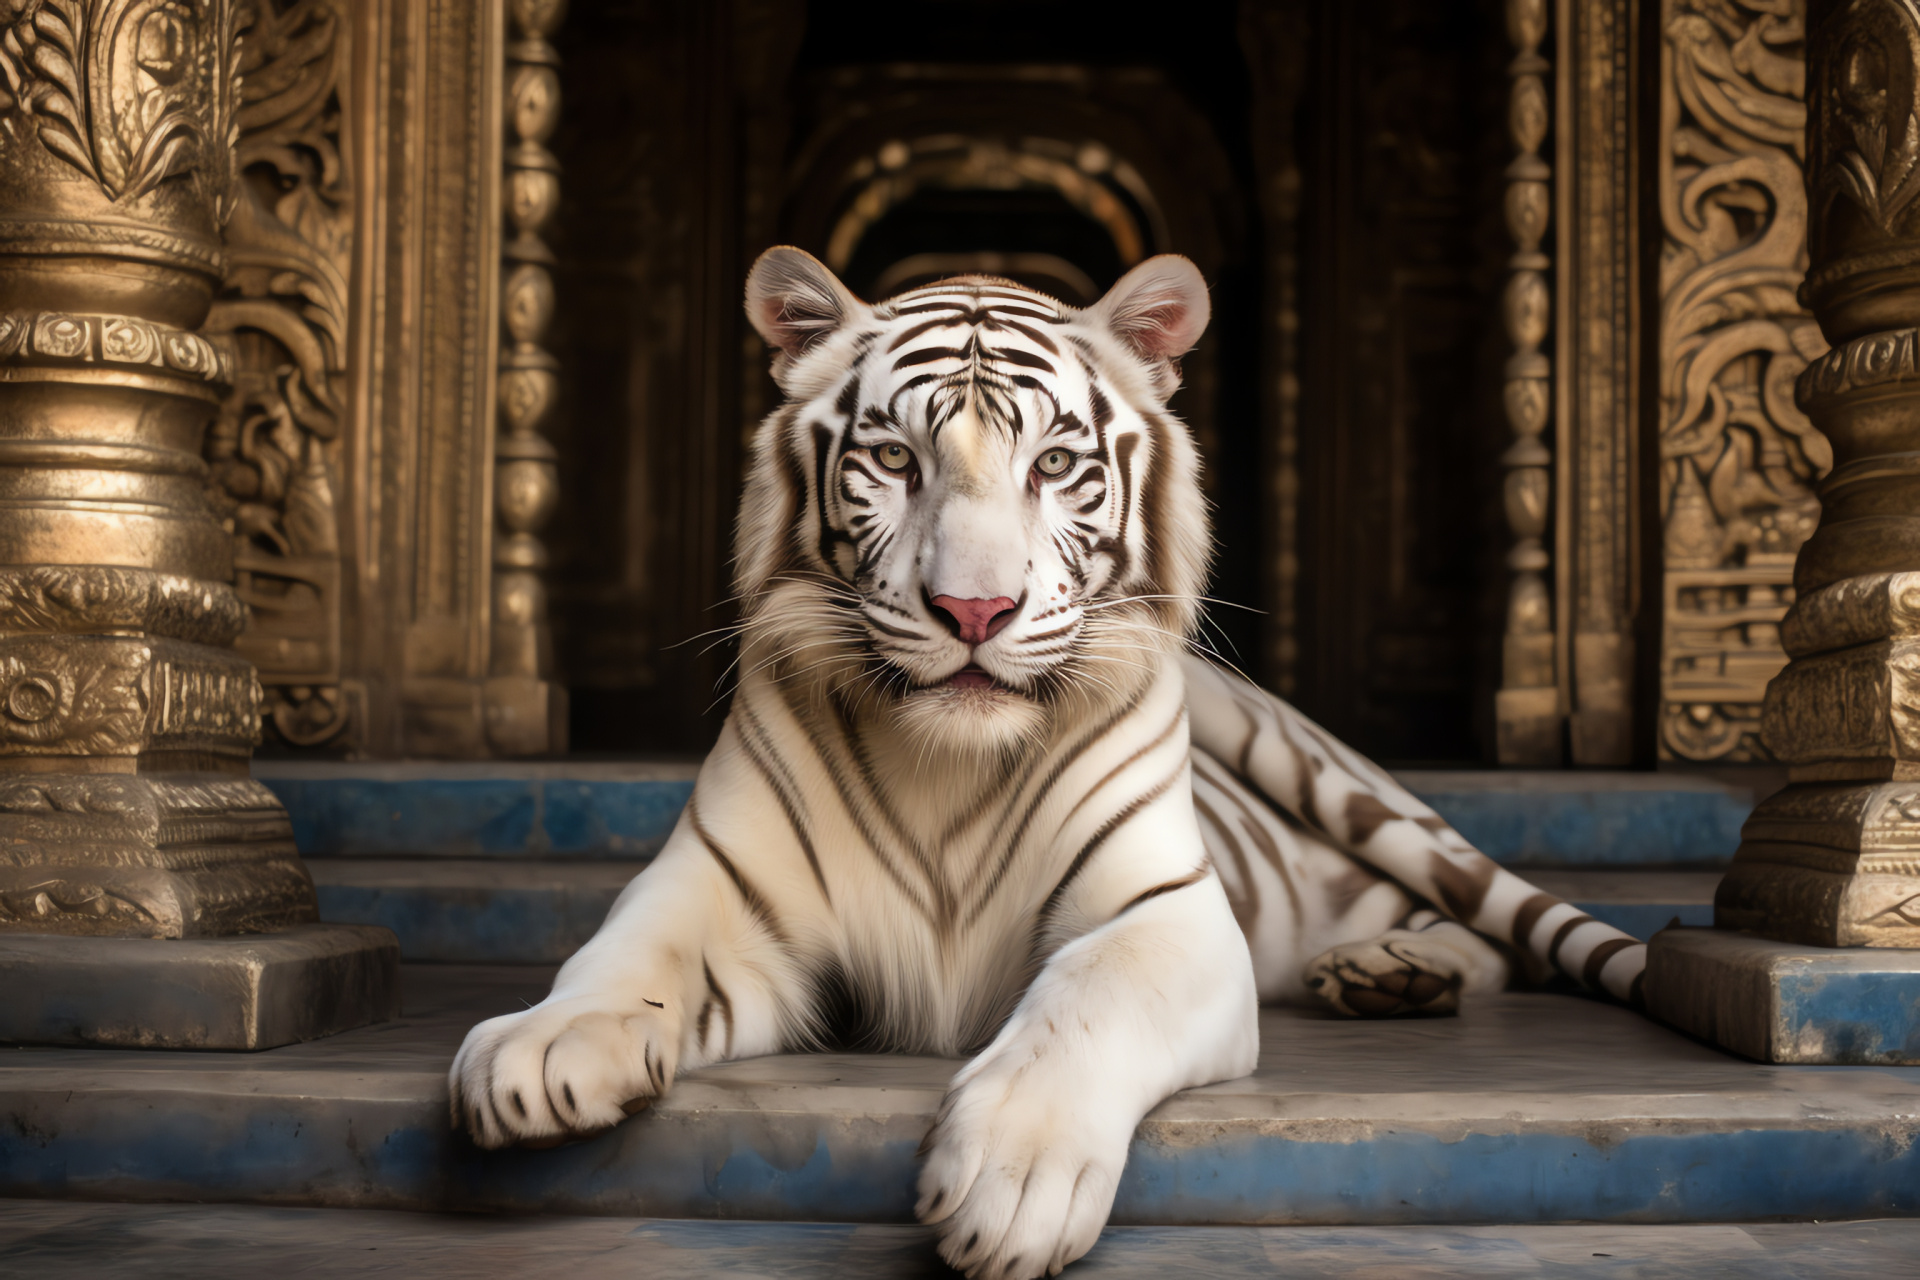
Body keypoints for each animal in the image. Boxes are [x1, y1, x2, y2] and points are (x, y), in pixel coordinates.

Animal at [453, 249, 1651, 1280]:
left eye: (1057, 464)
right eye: (896, 459)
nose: (974, 610)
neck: (948, 766)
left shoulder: (1166, 912)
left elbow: (1089, 996)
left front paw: (1010, 1172)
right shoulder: (720, 890)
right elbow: (623, 959)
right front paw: (537, 1049)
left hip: (1347, 789)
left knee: (1507, 923)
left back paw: (1409, 967)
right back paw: (1386, 969)